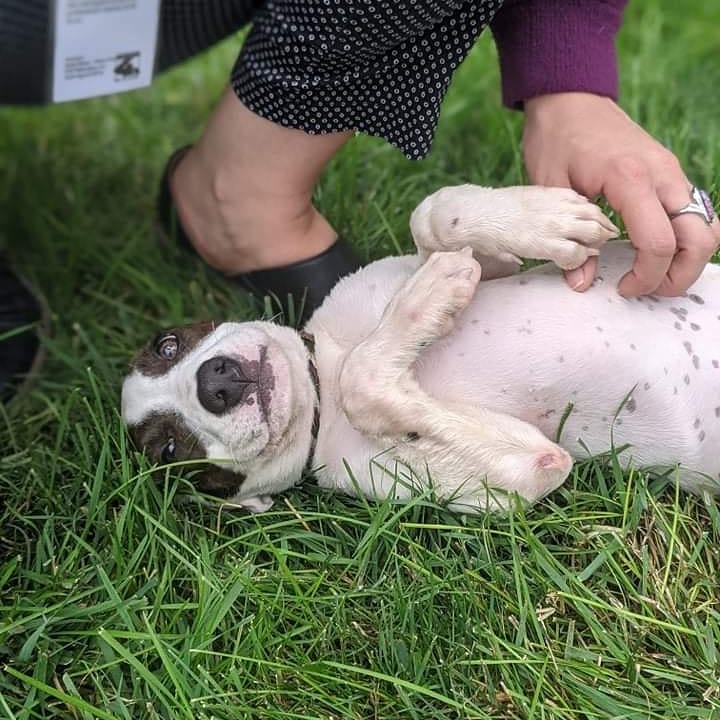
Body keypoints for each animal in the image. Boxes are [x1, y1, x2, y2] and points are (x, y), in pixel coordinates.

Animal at [122, 186, 720, 512]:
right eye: (169, 451)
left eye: (168, 343)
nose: (215, 381)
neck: (320, 381)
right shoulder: (522, 471)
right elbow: (364, 382)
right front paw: (430, 298)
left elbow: (432, 215)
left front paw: (544, 220)